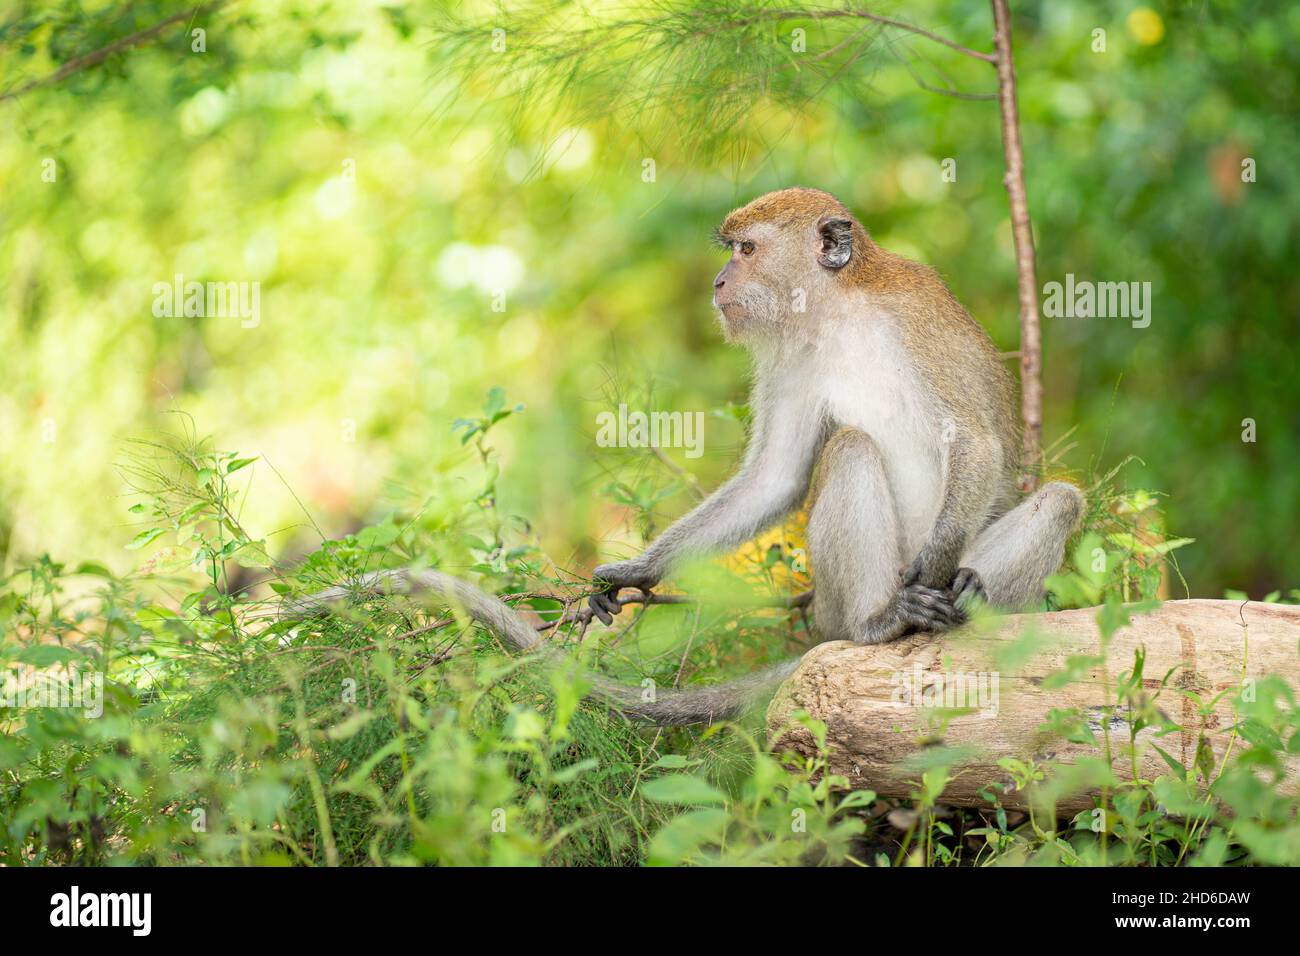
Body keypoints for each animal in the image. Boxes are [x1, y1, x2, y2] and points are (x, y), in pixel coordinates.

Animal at [287, 187, 1086, 723]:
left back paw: (966, 606)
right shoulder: (788, 359)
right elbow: (777, 476)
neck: (838, 313)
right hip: (828, 605)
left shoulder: (914, 321)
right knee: (851, 450)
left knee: (1057, 499)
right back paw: (879, 624)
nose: (719, 283)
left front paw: (938, 570)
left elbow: (976, 441)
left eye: (746, 249)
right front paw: (637, 570)